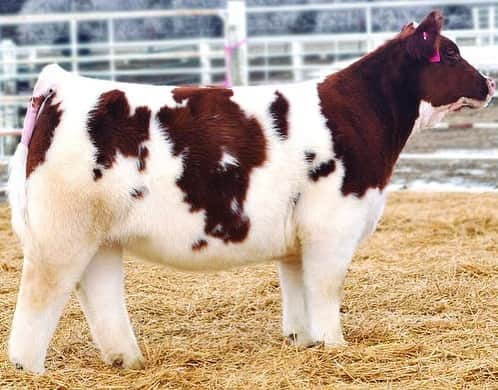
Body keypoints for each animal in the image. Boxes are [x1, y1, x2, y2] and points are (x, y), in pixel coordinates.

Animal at [7, 10, 494, 374]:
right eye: (451, 53)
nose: (489, 83)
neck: (362, 116)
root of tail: (60, 83)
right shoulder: (332, 228)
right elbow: (326, 289)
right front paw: (335, 347)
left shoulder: (298, 239)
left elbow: (298, 293)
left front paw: (305, 342)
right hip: (60, 234)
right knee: (38, 300)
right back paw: (29, 370)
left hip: (99, 236)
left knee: (99, 293)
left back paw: (128, 360)